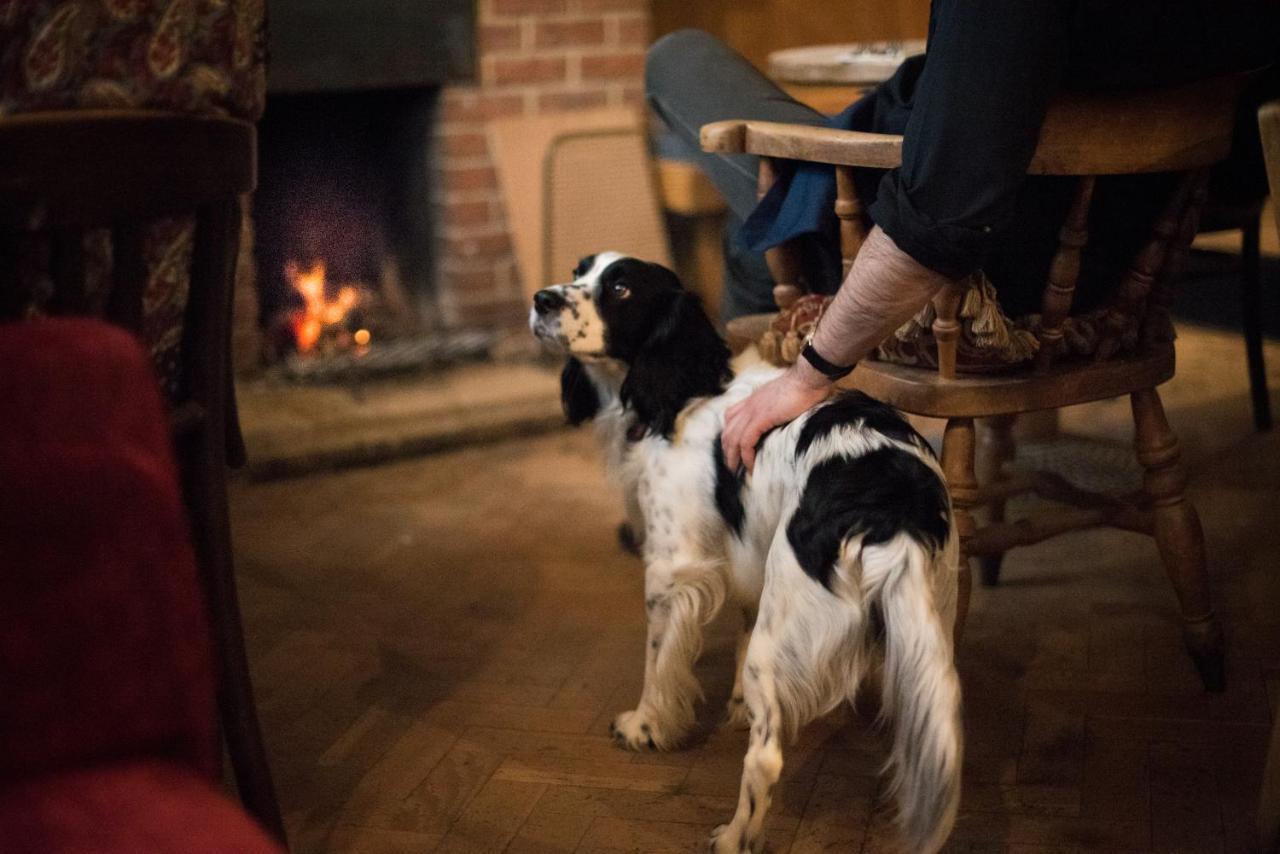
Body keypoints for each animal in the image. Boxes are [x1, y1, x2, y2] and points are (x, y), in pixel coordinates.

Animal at [527, 250, 962, 850]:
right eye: (579, 269)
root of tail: (885, 505)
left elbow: (658, 661)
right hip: (927, 621)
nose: (541, 299)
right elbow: (737, 627)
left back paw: (734, 836)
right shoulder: (748, 557)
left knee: (766, 759)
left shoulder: (672, 569)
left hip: (784, 630)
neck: (687, 393)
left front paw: (646, 726)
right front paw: (732, 705)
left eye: (620, 288)